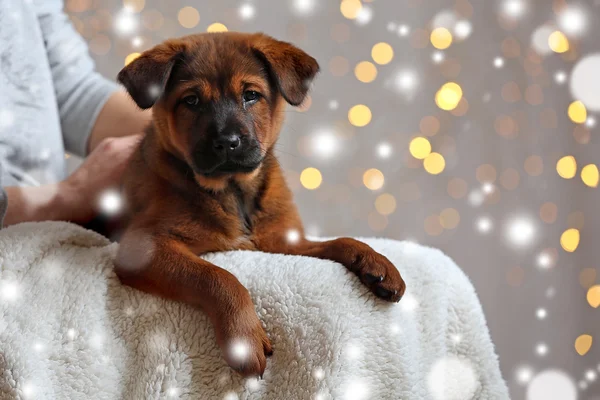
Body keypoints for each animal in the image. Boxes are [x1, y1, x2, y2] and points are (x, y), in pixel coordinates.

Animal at [115, 32, 406, 378]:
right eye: (191, 101)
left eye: (251, 95)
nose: (227, 143)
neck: (234, 193)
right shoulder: (143, 248)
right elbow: (216, 277)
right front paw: (243, 338)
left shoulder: (281, 241)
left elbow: (338, 242)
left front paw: (374, 261)